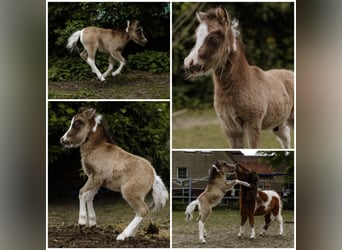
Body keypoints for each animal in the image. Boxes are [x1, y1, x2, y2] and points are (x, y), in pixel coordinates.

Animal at [61, 107, 170, 240]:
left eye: (78, 123)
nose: (62, 140)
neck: (97, 148)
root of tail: (154, 176)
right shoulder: (98, 180)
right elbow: (89, 197)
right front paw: (92, 223)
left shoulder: (96, 177)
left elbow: (81, 192)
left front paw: (81, 222)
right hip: (139, 195)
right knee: (142, 211)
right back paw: (131, 234)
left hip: (129, 192)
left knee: (143, 210)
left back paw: (122, 235)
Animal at [184, 6, 294, 148]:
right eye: (196, 36)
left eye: (213, 37)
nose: (189, 64)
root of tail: (290, 72)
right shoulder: (230, 129)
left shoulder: (252, 125)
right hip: (278, 123)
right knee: (286, 140)